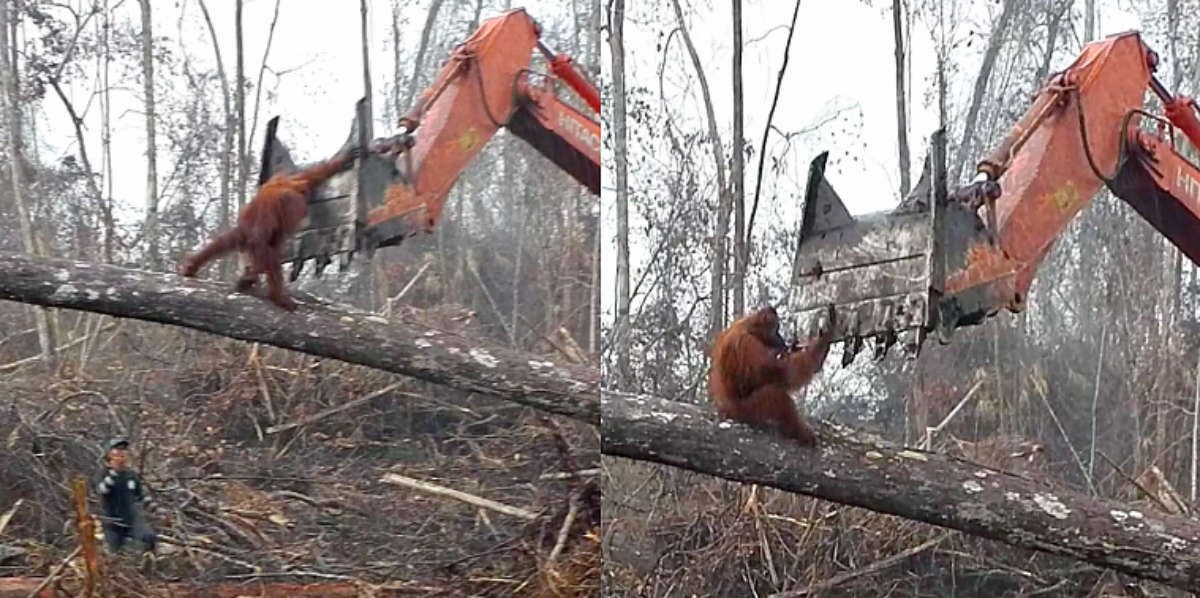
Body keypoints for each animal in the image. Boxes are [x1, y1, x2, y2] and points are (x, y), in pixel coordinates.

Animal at [179, 146, 361, 311]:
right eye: (296, 213)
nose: (297, 220)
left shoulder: (294, 185)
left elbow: (314, 175)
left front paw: (345, 159)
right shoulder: (275, 206)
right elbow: (260, 240)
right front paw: (254, 276)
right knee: (263, 246)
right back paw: (275, 294)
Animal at [707, 304, 837, 447]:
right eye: (776, 329)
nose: (780, 338)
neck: (750, 327)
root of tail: (725, 411)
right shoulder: (748, 344)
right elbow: (783, 374)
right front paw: (824, 339)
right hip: (744, 412)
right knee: (775, 394)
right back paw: (800, 433)